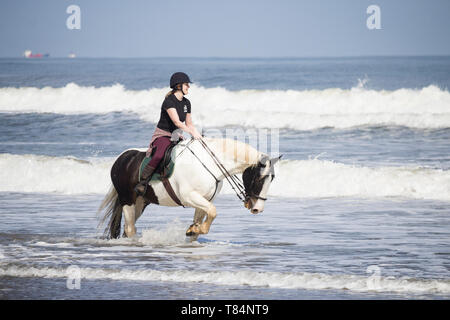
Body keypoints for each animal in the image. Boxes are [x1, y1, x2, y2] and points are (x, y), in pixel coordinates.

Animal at [99, 138, 278, 240]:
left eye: (272, 179)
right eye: (258, 179)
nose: (257, 208)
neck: (210, 163)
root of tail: (121, 159)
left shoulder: (204, 200)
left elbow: (203, 218)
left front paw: (193, 229)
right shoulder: (189, 196)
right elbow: (213, 211)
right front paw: (195, 229)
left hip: (141, 202)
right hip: (127, 199)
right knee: (129, 228)